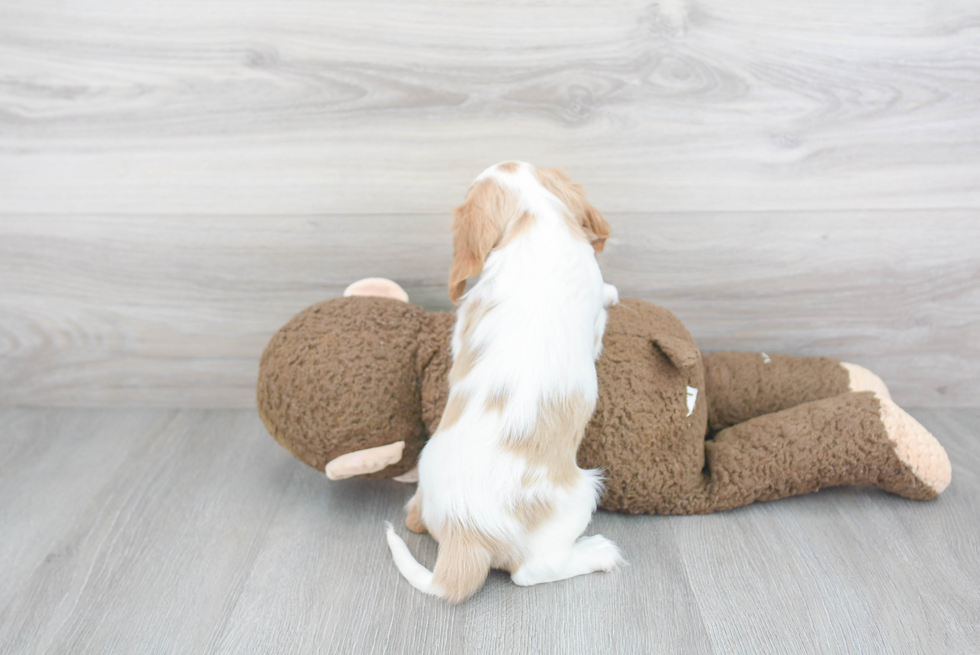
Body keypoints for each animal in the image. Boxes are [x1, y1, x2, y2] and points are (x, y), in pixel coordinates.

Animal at [382, 161, 620, 604]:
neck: (534, 216)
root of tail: (462, 533)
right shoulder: (594, 315)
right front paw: (614, 292)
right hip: (581, 494)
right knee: (532, 571)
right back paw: (598, 553)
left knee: (414, 517)